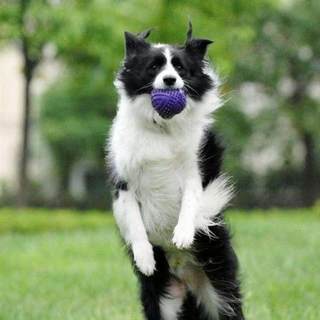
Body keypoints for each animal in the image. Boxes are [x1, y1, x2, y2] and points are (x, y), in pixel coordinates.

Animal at [107, 23, 245, 320]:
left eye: (180, 68)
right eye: (153, 67)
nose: (170, 81)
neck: (162, 126)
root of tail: (187, 278)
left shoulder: (197, 170)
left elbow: (192, 201)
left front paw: (182, 234)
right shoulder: (124, 183)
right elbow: (134, 220)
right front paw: (145, 258)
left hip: (220, 290)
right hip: (162, 300)